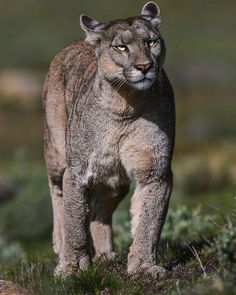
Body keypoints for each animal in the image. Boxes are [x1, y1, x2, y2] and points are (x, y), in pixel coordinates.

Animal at [42, 1, 175, 278]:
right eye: (121, 47)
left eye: (151, 42)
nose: (145, 67)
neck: (125, 104)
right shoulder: (78, 170)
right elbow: (74, 218)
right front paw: (72, 267)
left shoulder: (155, 171)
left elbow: (149, 220)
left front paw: (143, 267)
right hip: (56, 153)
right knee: (57, 193)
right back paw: (61, 245)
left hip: (114, 178)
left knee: (99, 209)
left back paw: (105, 255)